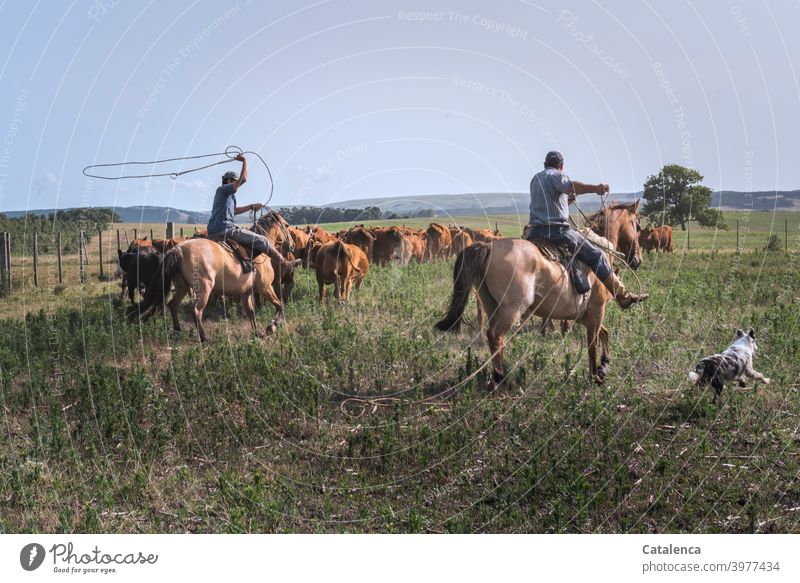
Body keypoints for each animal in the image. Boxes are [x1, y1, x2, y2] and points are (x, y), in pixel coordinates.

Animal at [126, 240, 286, 344]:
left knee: (173, 304)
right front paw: (271, 327)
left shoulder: (245, 293)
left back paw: (177, 330)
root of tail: (178, 250)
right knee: (196, 311)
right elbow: (280, 305)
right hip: (204, 289)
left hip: (183, 288)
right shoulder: (265, 288)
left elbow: (251, 312)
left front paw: (257, 332)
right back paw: (204, 338)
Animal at [438, 201, 644, 388]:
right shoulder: (597, 310)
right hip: (511, 310)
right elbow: (592, 344)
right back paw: (501, 379)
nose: (638, 260)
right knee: (495, 336)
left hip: (492, 306)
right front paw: (595, 377)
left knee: (494, 338)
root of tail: (488, 247)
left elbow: (604, 333)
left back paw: (498, 377)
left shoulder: (584, 315)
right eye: (637, 225)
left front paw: (605, 364)